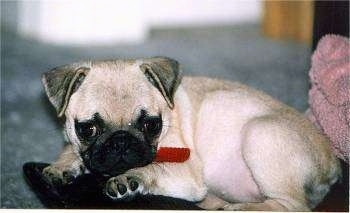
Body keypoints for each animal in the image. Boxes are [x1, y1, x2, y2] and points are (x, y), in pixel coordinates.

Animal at [41, 57, 340, 211]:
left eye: (151, 125)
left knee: (293, 205)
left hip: (261, 133)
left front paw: (131, 179)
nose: (121, 141)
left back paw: (241, 208)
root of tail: (333, 163)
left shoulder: (186, 173)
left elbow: (154, 168)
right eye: (88, 129)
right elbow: (71, 150)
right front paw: (63, 166)